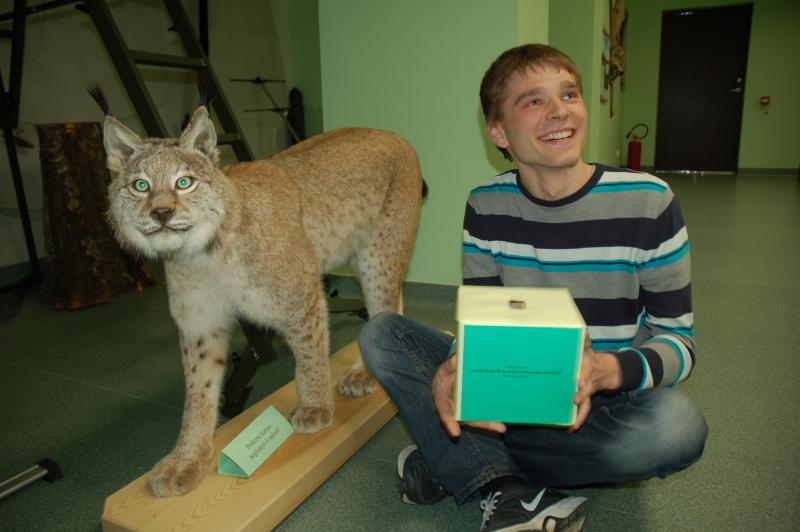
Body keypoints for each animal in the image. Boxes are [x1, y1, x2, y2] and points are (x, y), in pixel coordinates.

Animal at [103, 107, 424, 496]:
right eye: (141, 186)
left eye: (185, 182)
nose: (161, 213)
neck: (201, 254)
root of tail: (390, 133)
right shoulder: (199, 326)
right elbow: (198, 391)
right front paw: (189, 457)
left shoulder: (302, 296)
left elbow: (310, 356)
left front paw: (315, 408)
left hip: (378, 253)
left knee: (383, 307)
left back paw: (363, 373)